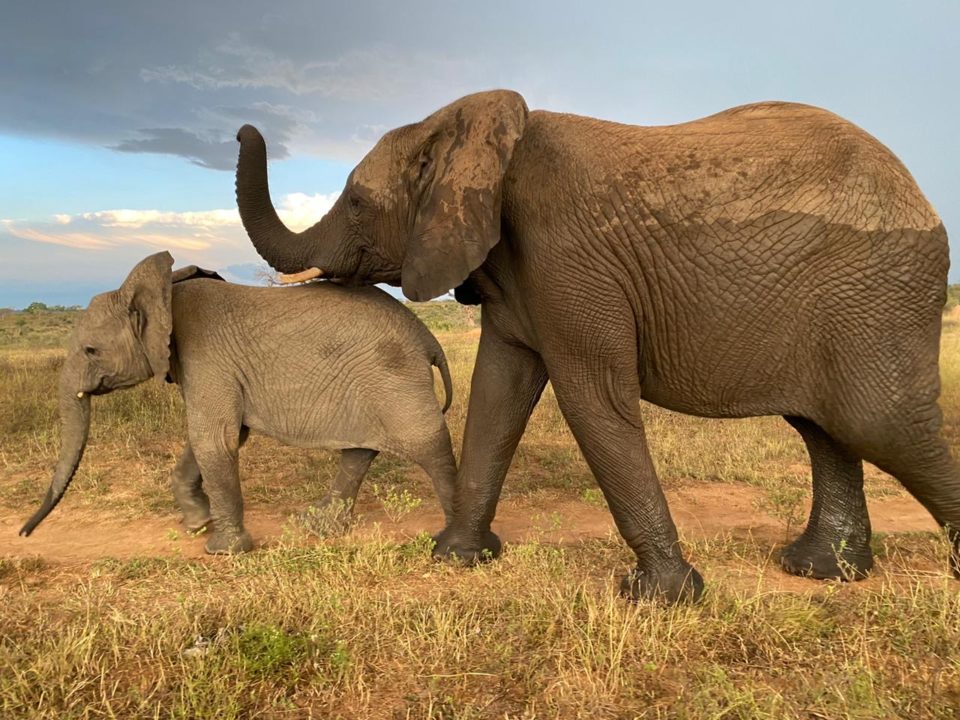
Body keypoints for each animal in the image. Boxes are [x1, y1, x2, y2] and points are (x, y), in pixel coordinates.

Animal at [19, 252, 457, 553]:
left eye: (90, 350)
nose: (25, 533)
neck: (164, 291)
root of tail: (429, 339)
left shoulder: (205, 355)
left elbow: (215, 438)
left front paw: (221, 550)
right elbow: (222, 436)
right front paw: (196, 524)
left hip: (395, 377)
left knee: (428, 444)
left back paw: (455, 539)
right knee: (359, 450)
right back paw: (314, 526)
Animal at [233, 90, 960, 602]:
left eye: (356, 201)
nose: (244, 129)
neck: (469, 131)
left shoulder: (567, 255)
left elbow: (592, 398)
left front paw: (659, 598)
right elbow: (498, 394)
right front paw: (457, 558)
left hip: (876, 295)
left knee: (881, 423)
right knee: (825, 429)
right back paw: (820, 573)